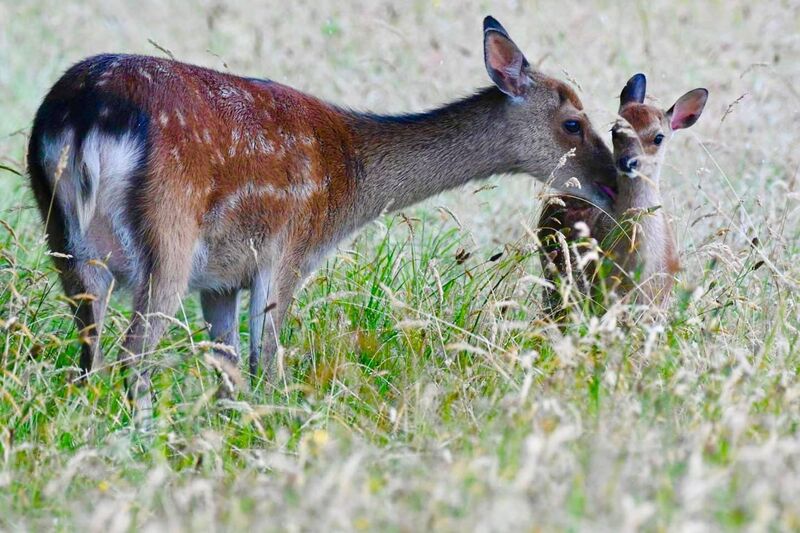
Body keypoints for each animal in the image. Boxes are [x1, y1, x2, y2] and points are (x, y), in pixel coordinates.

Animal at [27, 16, 617, 418]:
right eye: (572, 122)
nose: (616, 179)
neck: (349, 186)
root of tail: (83, 116)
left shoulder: (220, 278)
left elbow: (227, 368)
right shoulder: (289, 247)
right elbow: (266, 361)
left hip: (67, 244)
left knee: (88, 357)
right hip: (167, 237)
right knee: (133, 356)